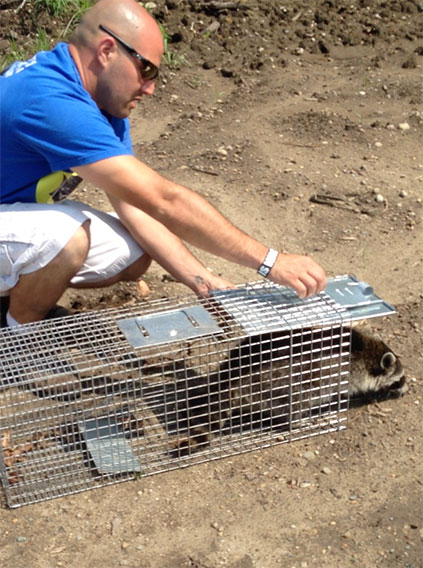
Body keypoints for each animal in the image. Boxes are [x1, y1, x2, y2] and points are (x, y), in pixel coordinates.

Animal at [171, 326, 408, 454]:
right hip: (279, 384)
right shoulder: (346, 374)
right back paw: (297, 421)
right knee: (293, 404)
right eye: (400, 379)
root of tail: (235, 374)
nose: (407, 390)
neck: (368, 351)